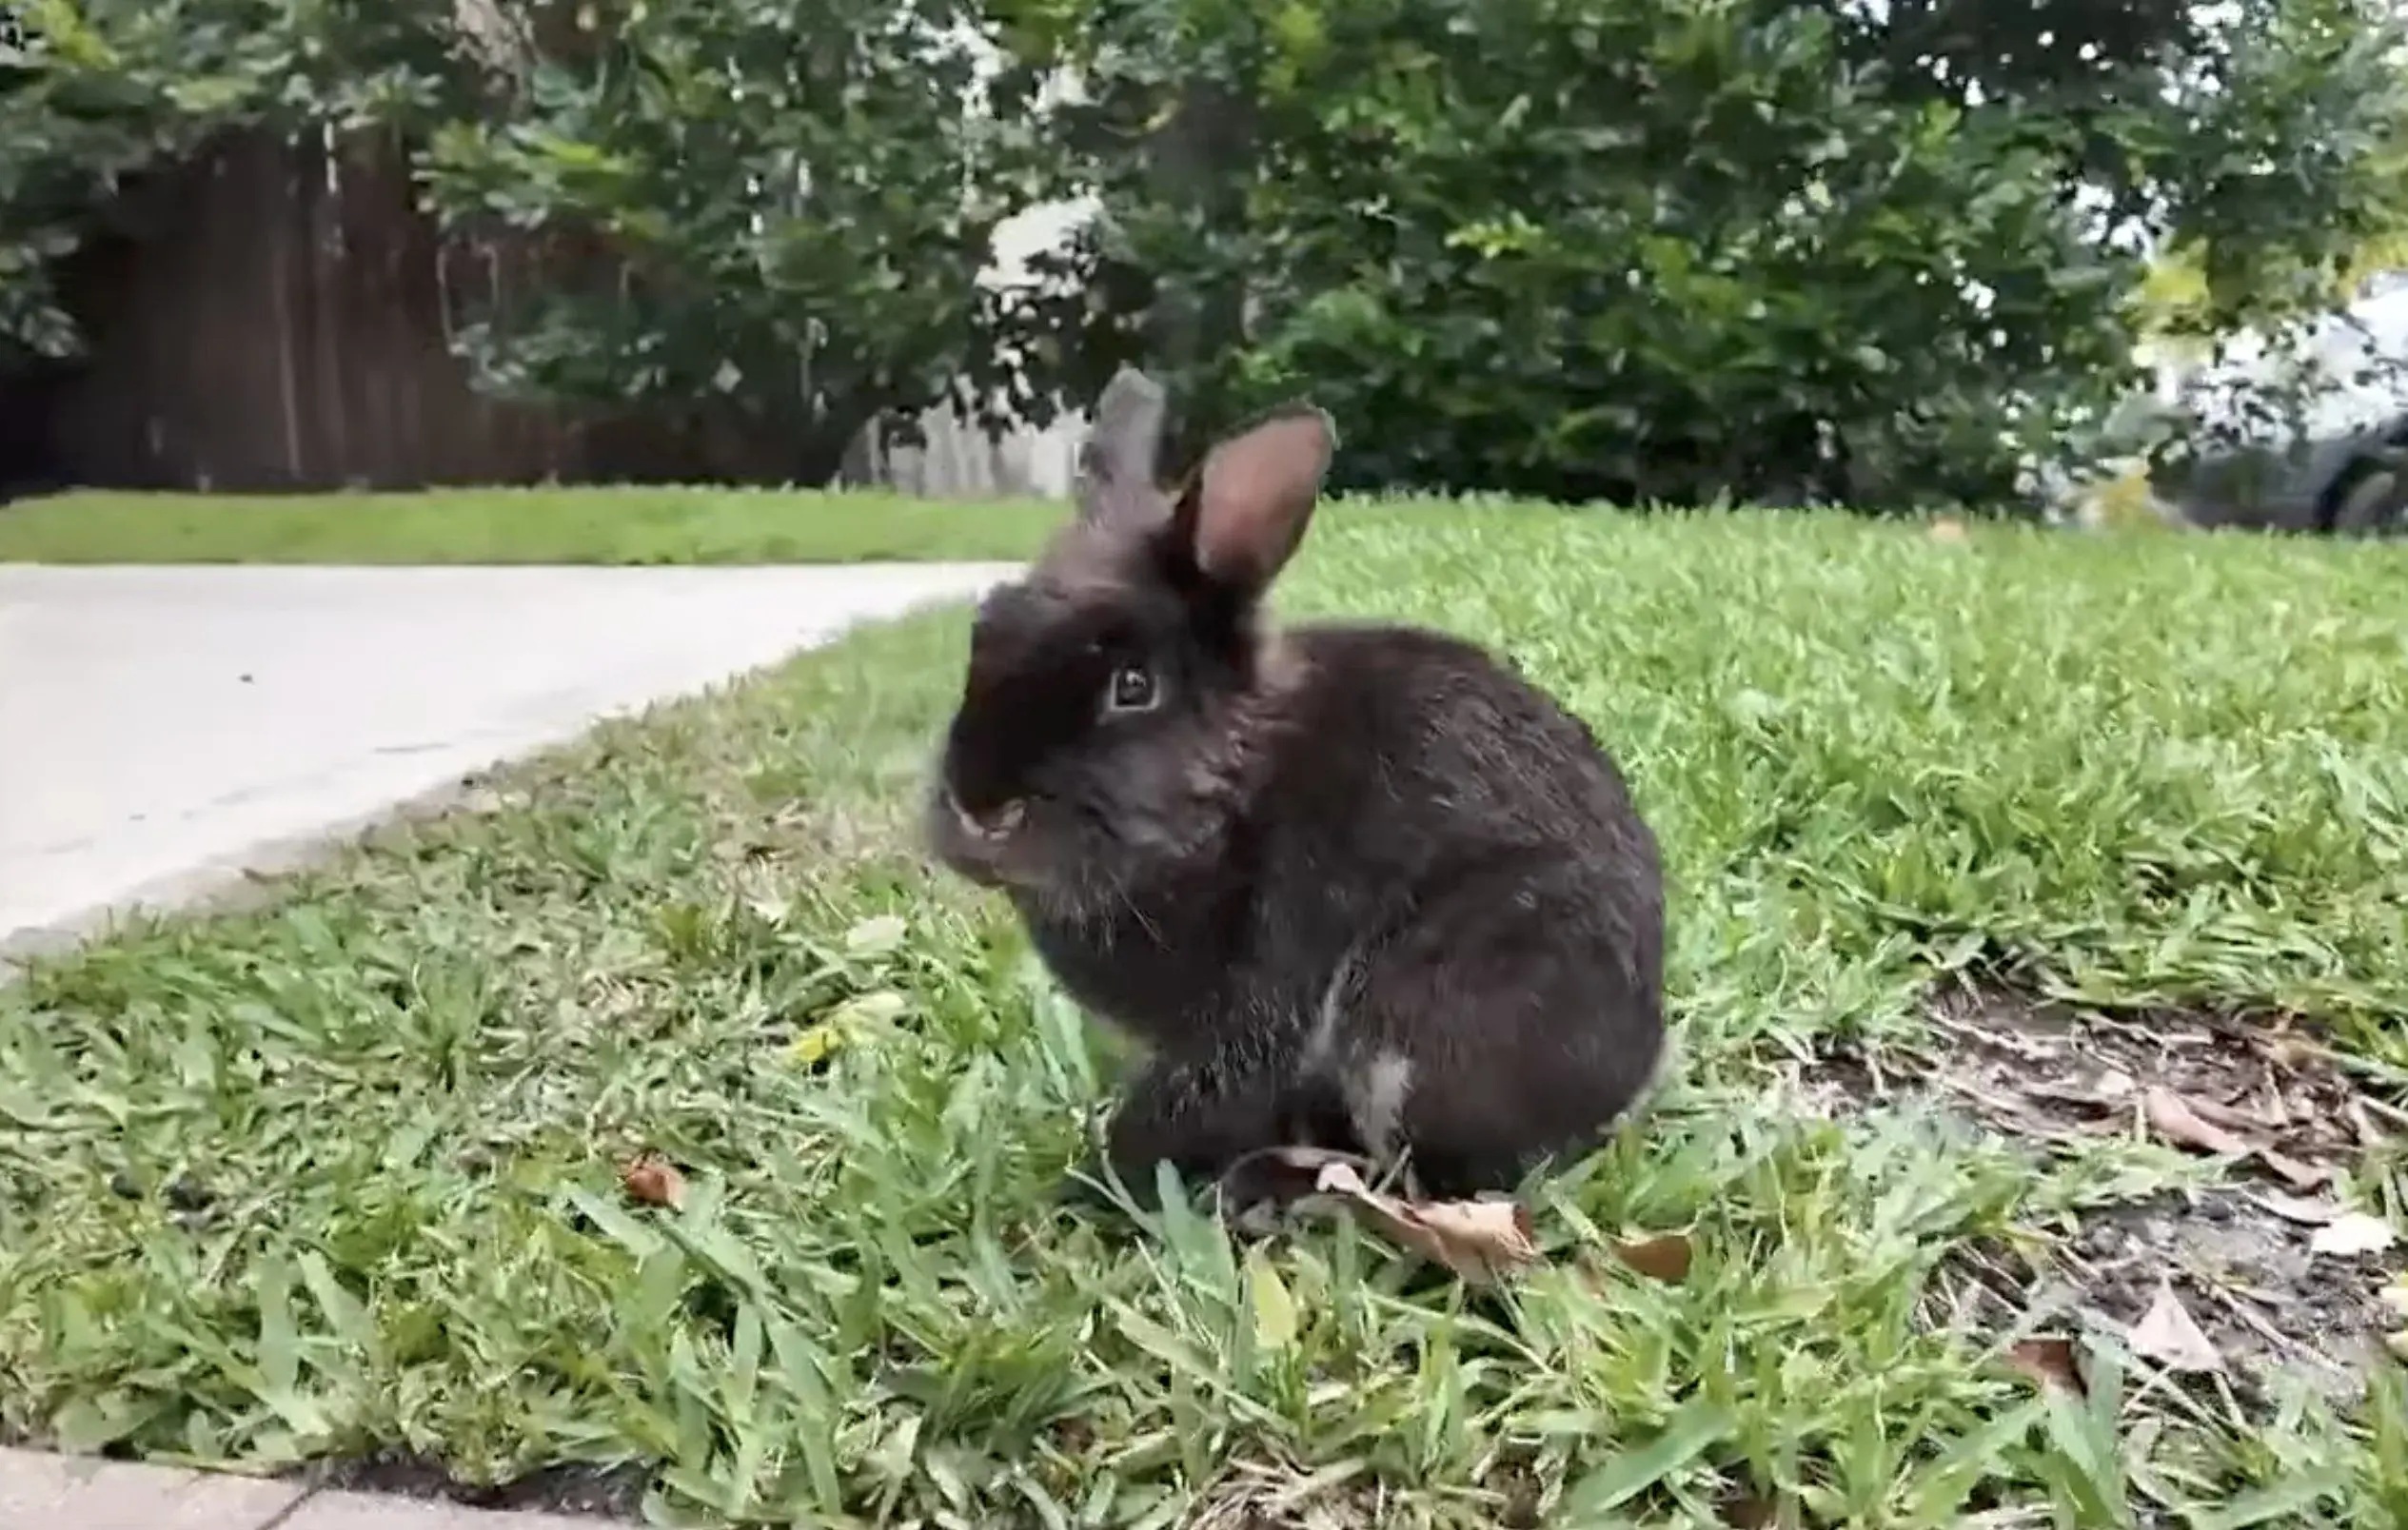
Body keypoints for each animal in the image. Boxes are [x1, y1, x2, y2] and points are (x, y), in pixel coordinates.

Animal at [925, 366, 1666, 1208]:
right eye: (984, 629)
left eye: (1133, 686)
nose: (978, 810)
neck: (1231, 789)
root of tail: (1634, 1069)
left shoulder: (1265, 985)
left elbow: (1196, 1095)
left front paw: (1090, 1185)